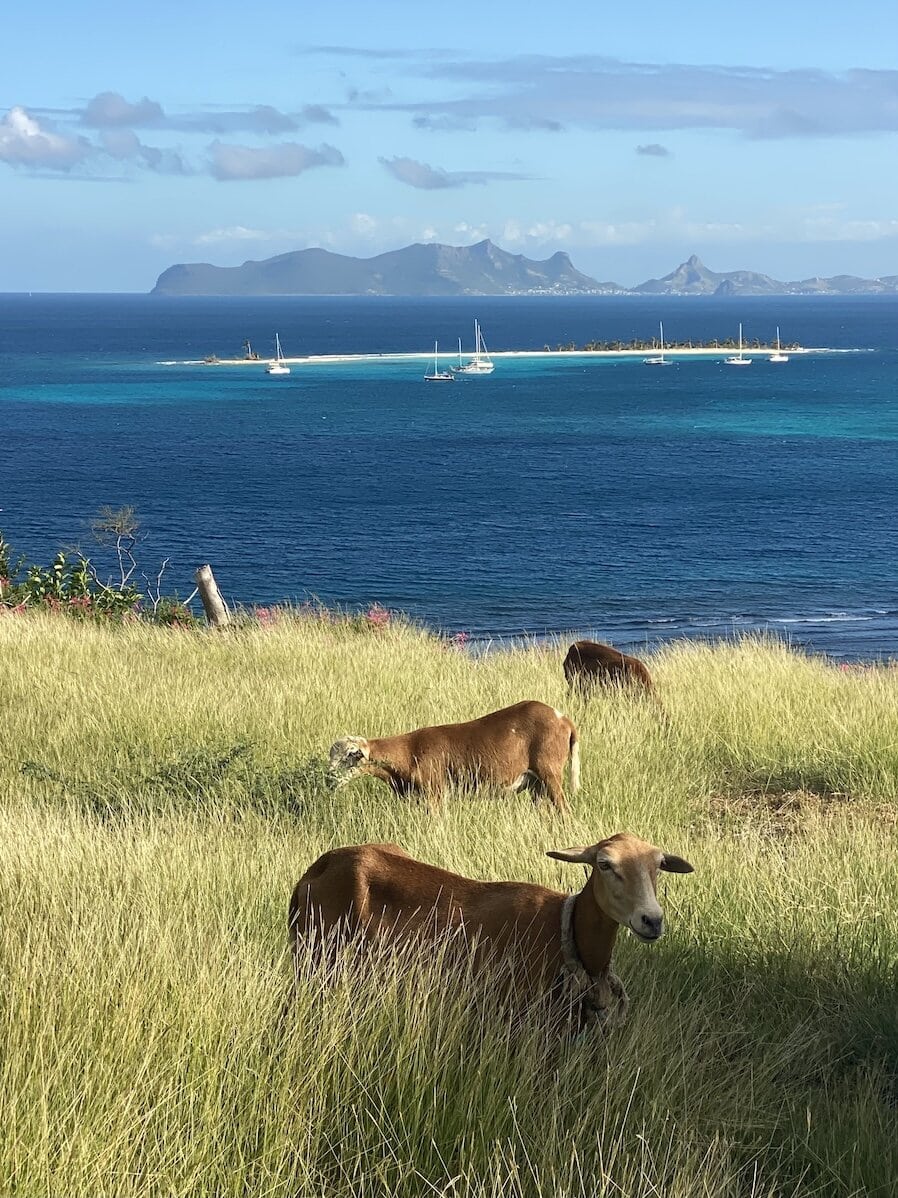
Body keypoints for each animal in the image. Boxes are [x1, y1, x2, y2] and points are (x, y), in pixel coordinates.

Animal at [287, 832, 693, 1029]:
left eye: (659, 865)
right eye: (605, 864)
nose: (651, 920)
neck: (568, 931)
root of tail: (316, 870)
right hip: (318, 960)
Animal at [328, 700, 579, 813]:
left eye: (350, 756)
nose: (329, 780)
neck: (409, 752)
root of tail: (563, 718)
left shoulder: (435, 793)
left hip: (549, 771)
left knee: (564, 809)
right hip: (536, 783)